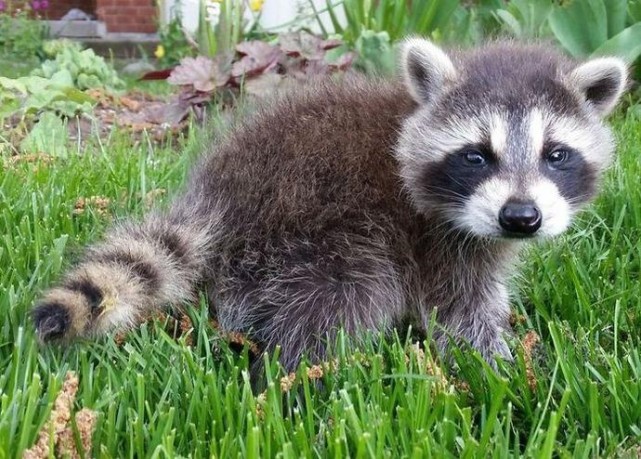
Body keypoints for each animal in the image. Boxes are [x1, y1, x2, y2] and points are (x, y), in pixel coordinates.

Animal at [31, 38, 624, 370]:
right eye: (476, 156)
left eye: (556, 154)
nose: (521, 218)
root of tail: (217, 197)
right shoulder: (433, 238)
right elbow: (459, 311)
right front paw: (506, 368)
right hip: (314, 235)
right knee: (343, 301)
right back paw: (299, 380)